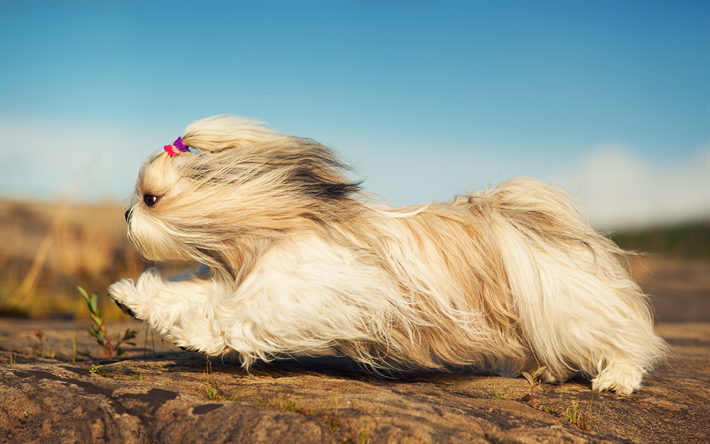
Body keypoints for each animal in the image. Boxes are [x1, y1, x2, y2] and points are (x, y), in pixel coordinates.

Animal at [108, 114, 672, 392]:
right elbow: (192, 297)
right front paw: (130, 297)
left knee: (623, 342)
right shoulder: (248, 279)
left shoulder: (304, 293)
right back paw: (548, 373)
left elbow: (235, 320)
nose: (127, 215)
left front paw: (197, 337)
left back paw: (616, 380)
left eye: (151, 197)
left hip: (568, 306)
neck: (269, 230)